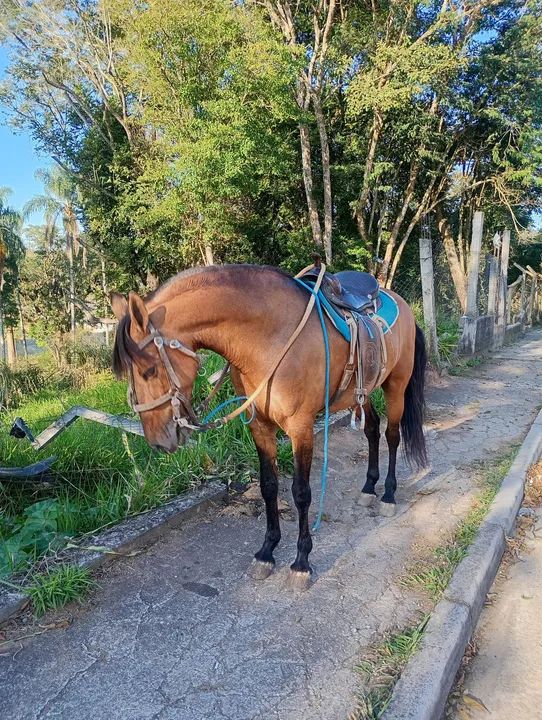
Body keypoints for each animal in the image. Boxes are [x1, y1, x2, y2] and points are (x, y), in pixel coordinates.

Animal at [111, 264, 427, 589]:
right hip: (359, 394)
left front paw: (302, 561)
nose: (158, 442)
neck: (268, 339)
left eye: (149, 370)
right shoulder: (260, 427)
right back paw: (368, 488)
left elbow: (301, 492)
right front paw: (267, 551)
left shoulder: (301, 427)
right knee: (372, 429)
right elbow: (268, 486)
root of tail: (400, 302)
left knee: (391, 435)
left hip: (396, 385)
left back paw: (388, 494)